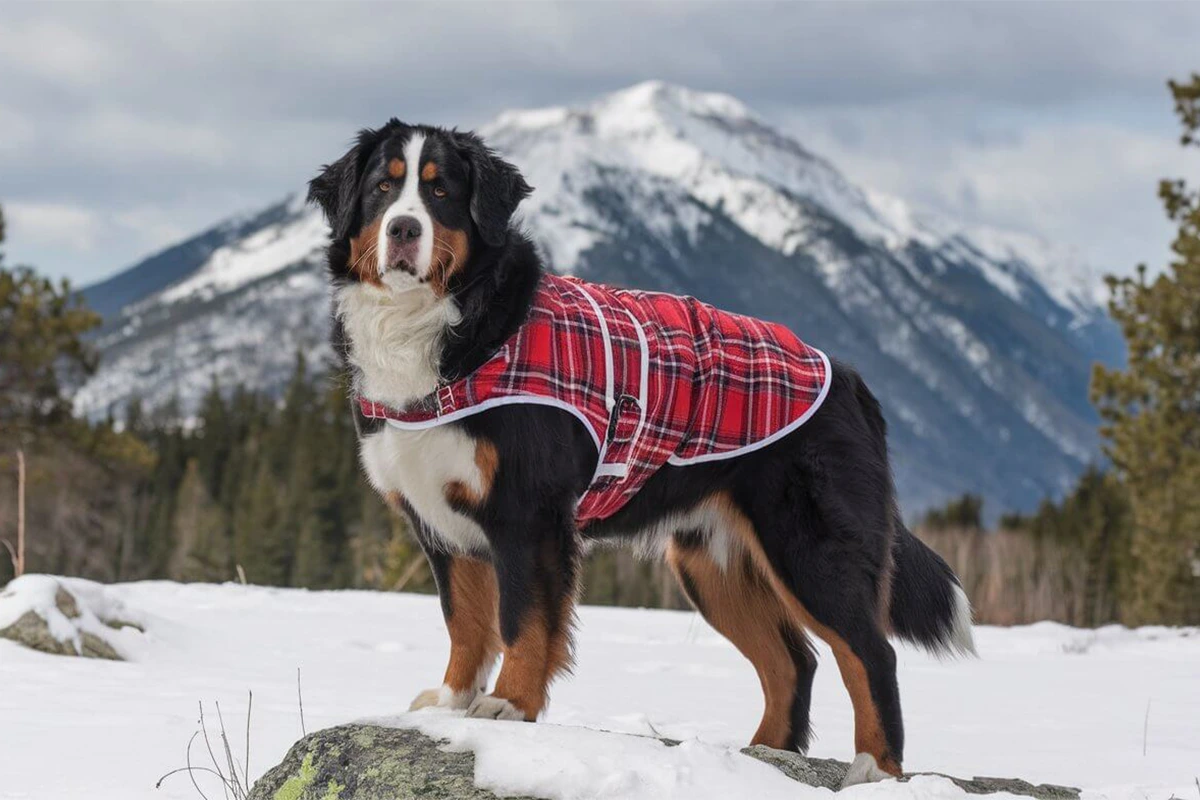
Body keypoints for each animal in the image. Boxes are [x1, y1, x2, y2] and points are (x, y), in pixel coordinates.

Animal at [309, 122, 974, 786]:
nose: (403, 229)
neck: (450, 326)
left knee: (870, 652)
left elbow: (524, 620)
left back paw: (874, 769)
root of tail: (847, 376)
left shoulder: (527, 515)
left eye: (441, 190)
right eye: (383, 187)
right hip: (710, 564)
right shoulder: (441, 524)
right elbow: (466, 624)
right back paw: (759, 757)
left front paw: (509, 705)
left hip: (808, 548)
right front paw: (450, 704)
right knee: (793, 662)